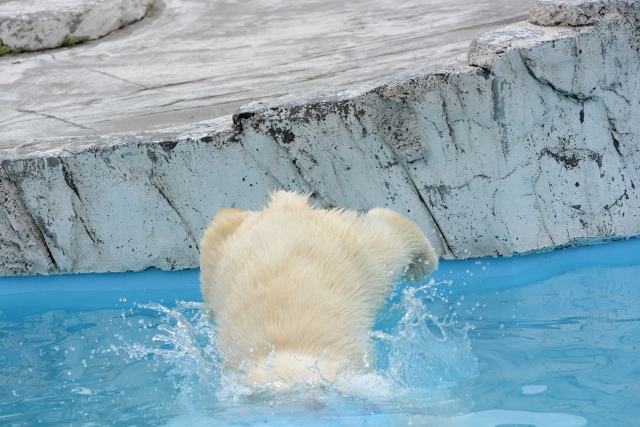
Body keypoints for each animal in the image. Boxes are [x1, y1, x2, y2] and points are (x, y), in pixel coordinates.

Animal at [201, 192, 440, 390]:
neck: (286, 348)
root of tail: (287, 206)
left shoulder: (352, 358)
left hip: (357, 256)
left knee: (386, 242)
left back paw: (423, 261)